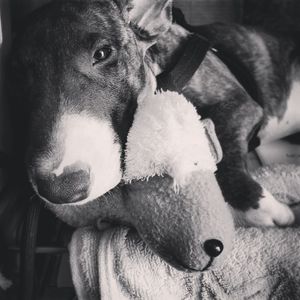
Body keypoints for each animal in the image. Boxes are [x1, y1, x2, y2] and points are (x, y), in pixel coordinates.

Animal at [8, 0, 298, 270]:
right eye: (18, 75)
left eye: (102, 53)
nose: (60, 188)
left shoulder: (239, 103)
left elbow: (226, 150)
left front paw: (264, 209)